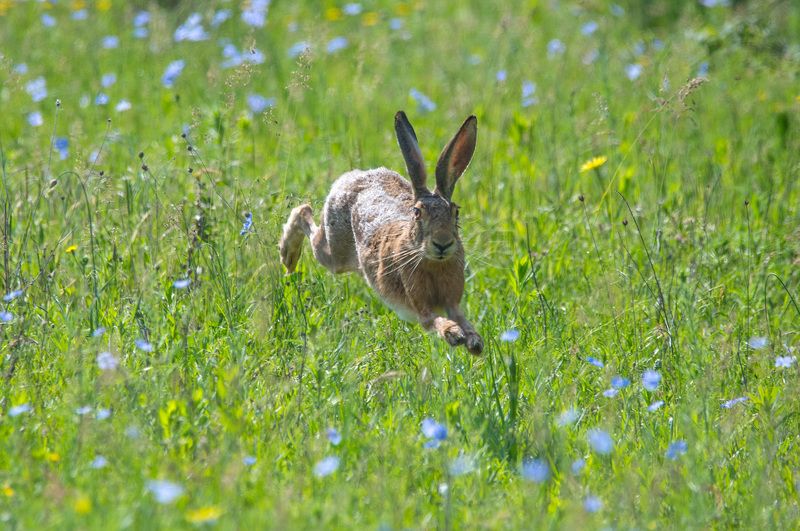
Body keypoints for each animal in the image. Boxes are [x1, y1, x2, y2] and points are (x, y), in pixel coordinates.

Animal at [279, 111, 483, 355]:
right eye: (417, 212)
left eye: (456, 212)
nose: (442, 243)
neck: (427, 258)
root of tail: (355, 176)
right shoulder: (421, 307)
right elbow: (434, 320)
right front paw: (453, 334)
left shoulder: (452, 302)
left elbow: (463, 319)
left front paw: (474, 342)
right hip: (336, 255)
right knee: (305, 214)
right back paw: (288, 256)